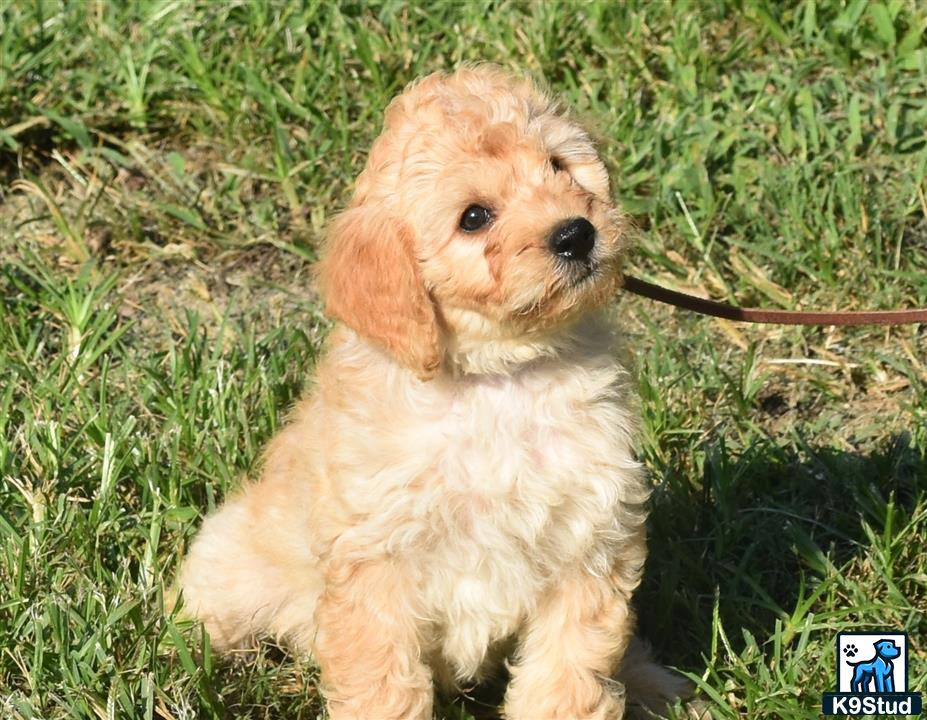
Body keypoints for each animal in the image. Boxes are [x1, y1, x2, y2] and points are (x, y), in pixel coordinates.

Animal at [183, 64, 688, 716]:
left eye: (558, 165)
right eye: (474, 217)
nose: (576, 233)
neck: (499, 379)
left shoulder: (591, 542)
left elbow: (569, 672)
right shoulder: (374, 564)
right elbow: (381, 684)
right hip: (232, 560)